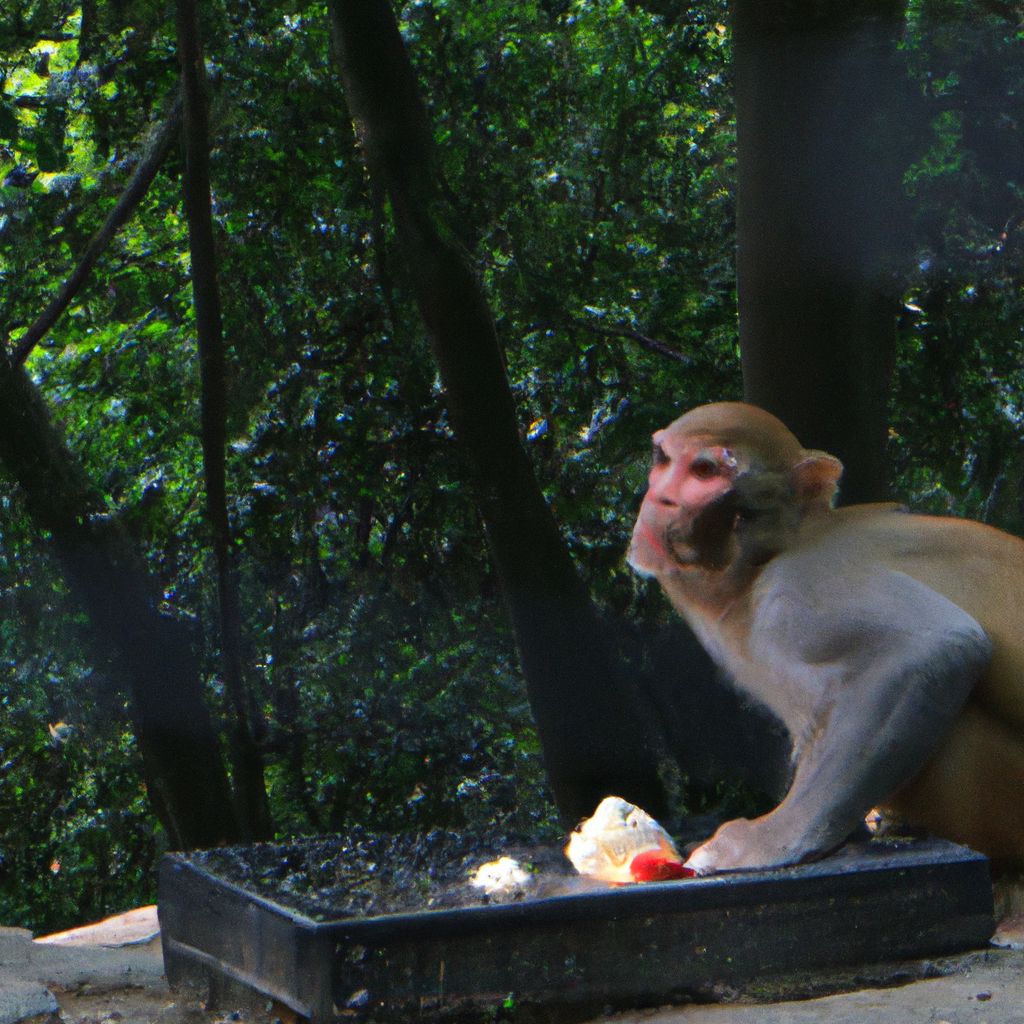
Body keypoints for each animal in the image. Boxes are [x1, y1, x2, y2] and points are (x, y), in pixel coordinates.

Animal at [626, 399, 1024, 872]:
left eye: (704, 471)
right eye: (662, 461)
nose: (660, 498)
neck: (760, 564)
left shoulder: (799, 588)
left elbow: (932, 648)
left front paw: (763, 843)